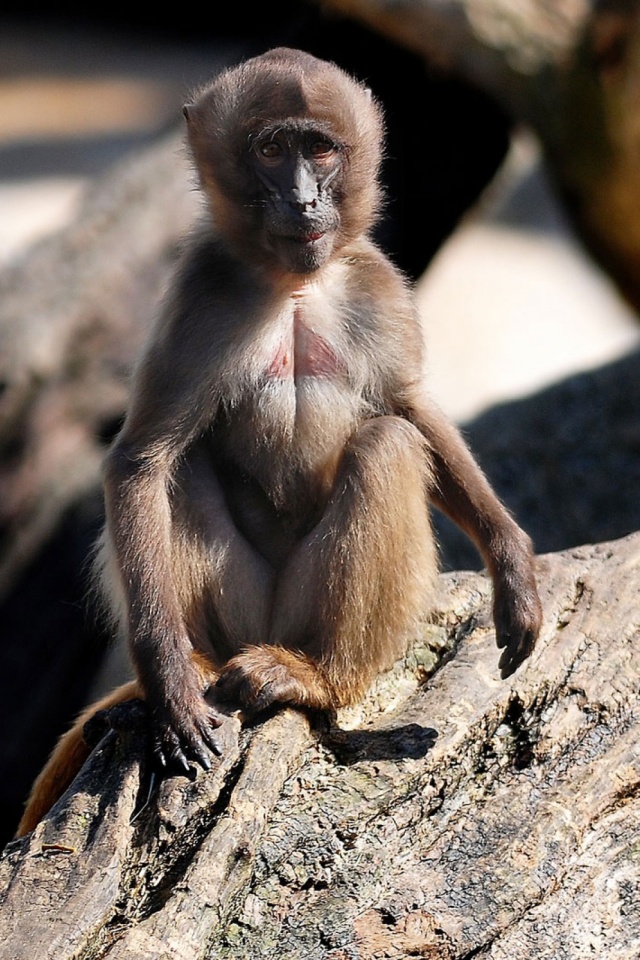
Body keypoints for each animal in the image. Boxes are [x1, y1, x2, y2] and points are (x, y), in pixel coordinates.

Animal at [15, 48, 544, 836]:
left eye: (318, 149)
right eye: (270, 151)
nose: (302, 202)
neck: (293, 283)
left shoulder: (376, 284)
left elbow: (409, 408)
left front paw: (512, 568)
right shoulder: (200, 295)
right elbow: (141, 461)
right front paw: (169, 686)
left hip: (302, 609)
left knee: (385, 446)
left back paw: (317, 680)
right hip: (242, 609)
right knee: (182, 470)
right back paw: (201, 669)